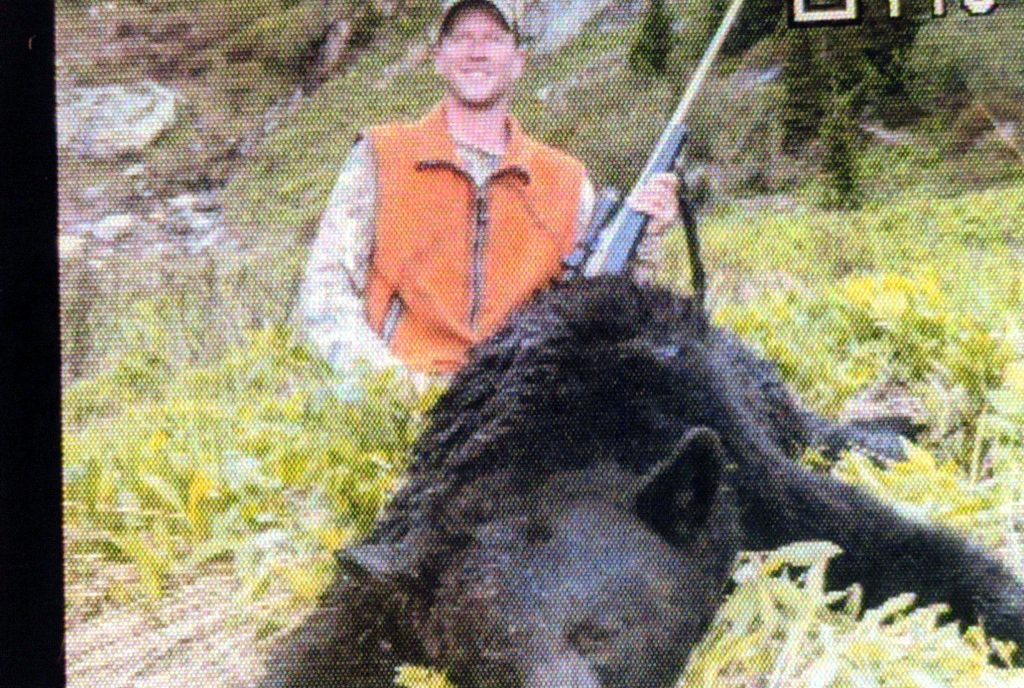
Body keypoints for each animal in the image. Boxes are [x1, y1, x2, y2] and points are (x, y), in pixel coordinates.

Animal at [260, 276, 1024, 688]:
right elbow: (328, 638)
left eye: (599, 633)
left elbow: (886, 544)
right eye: (492, 664)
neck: (561, 442)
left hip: (757, 382)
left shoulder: (747, 476)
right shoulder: (412, 537)